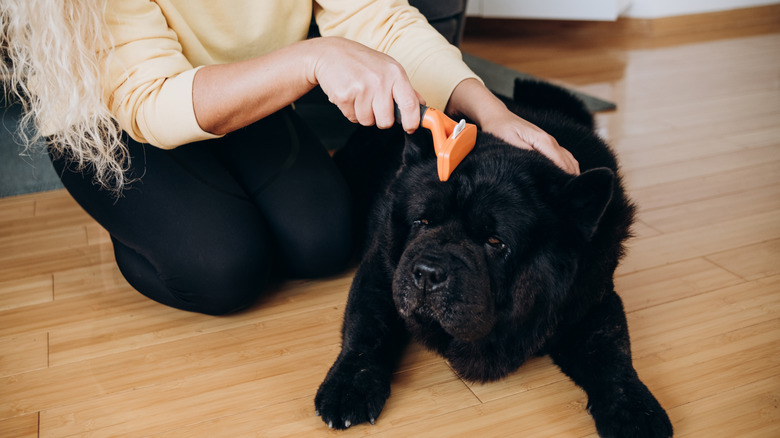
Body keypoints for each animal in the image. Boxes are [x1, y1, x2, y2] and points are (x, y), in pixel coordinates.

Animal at [314, 80, 672, 436]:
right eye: (421, 222)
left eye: (495, 242)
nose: (428, 272)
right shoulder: (380, 272)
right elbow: (367, 329)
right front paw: (349, 386)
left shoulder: (592, 301)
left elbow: (612, 352)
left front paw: (635, 411)